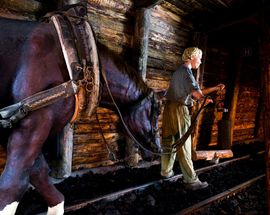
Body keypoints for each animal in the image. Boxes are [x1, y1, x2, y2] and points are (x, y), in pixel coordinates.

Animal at [0, 13, 160, 215]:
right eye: (156, 113)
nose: (158, 150)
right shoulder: (33, 122)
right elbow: (14, 184)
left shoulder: (16, 128)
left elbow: (38, 172)